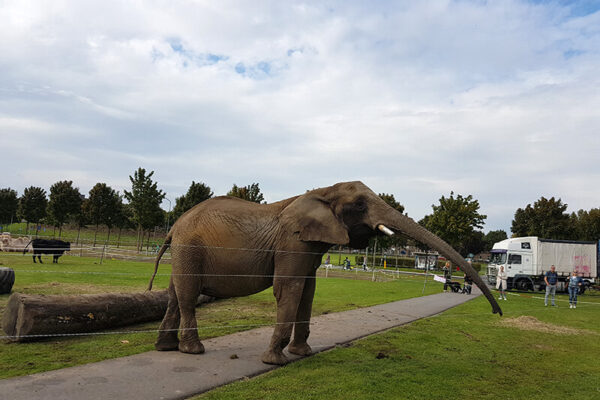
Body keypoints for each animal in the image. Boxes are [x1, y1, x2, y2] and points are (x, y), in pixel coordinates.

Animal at [146, 181, 502, 366]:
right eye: (360, 205)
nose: (498, 313)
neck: (322, 190)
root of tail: (173, 226)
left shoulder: (310, 246)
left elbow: (308, 290)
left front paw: (302, 354)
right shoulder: (293, 242)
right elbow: (288, 288)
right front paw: (275, 361)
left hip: (185, 251)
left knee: (174, 294)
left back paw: (165, 348)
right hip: (190, 248)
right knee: (188, 295)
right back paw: (193, 351)